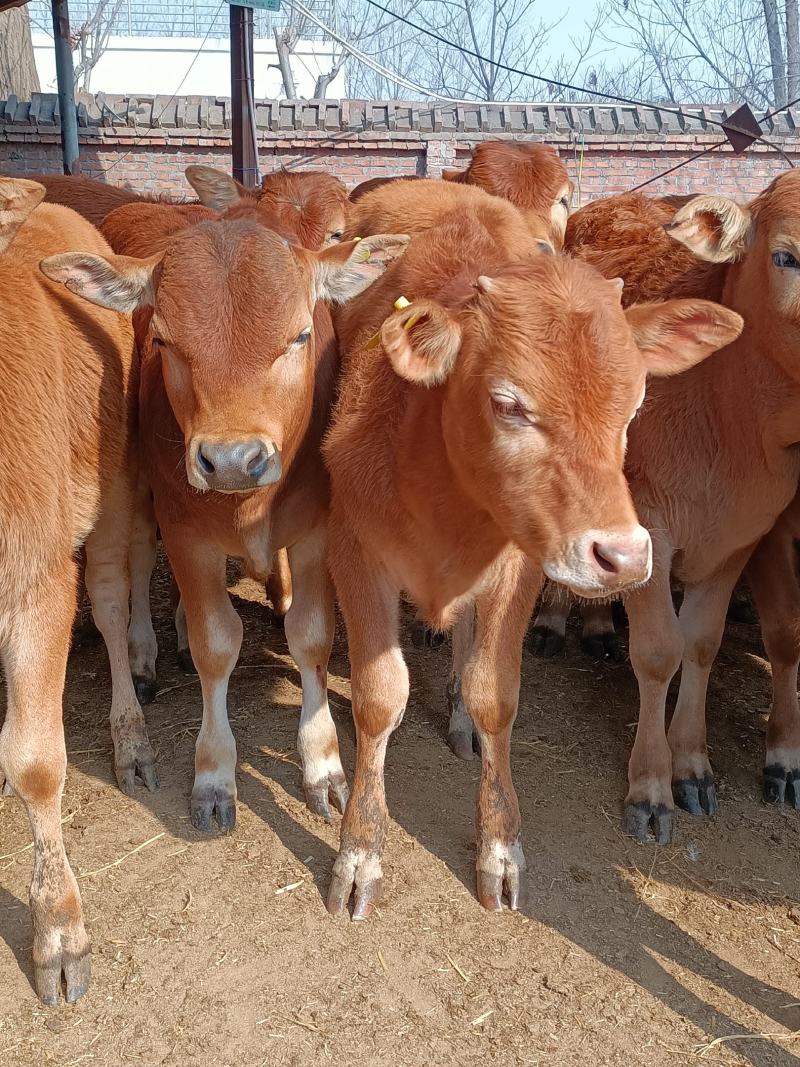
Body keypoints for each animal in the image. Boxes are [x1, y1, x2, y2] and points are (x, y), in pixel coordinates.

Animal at [322, 181, 742, 917]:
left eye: (635, 405)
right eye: (509, 404)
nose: (624, 556)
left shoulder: (516, 569)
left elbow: (496, 695)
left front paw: (499, 848)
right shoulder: (355, 550)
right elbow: (379, 697)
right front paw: (360, 851)